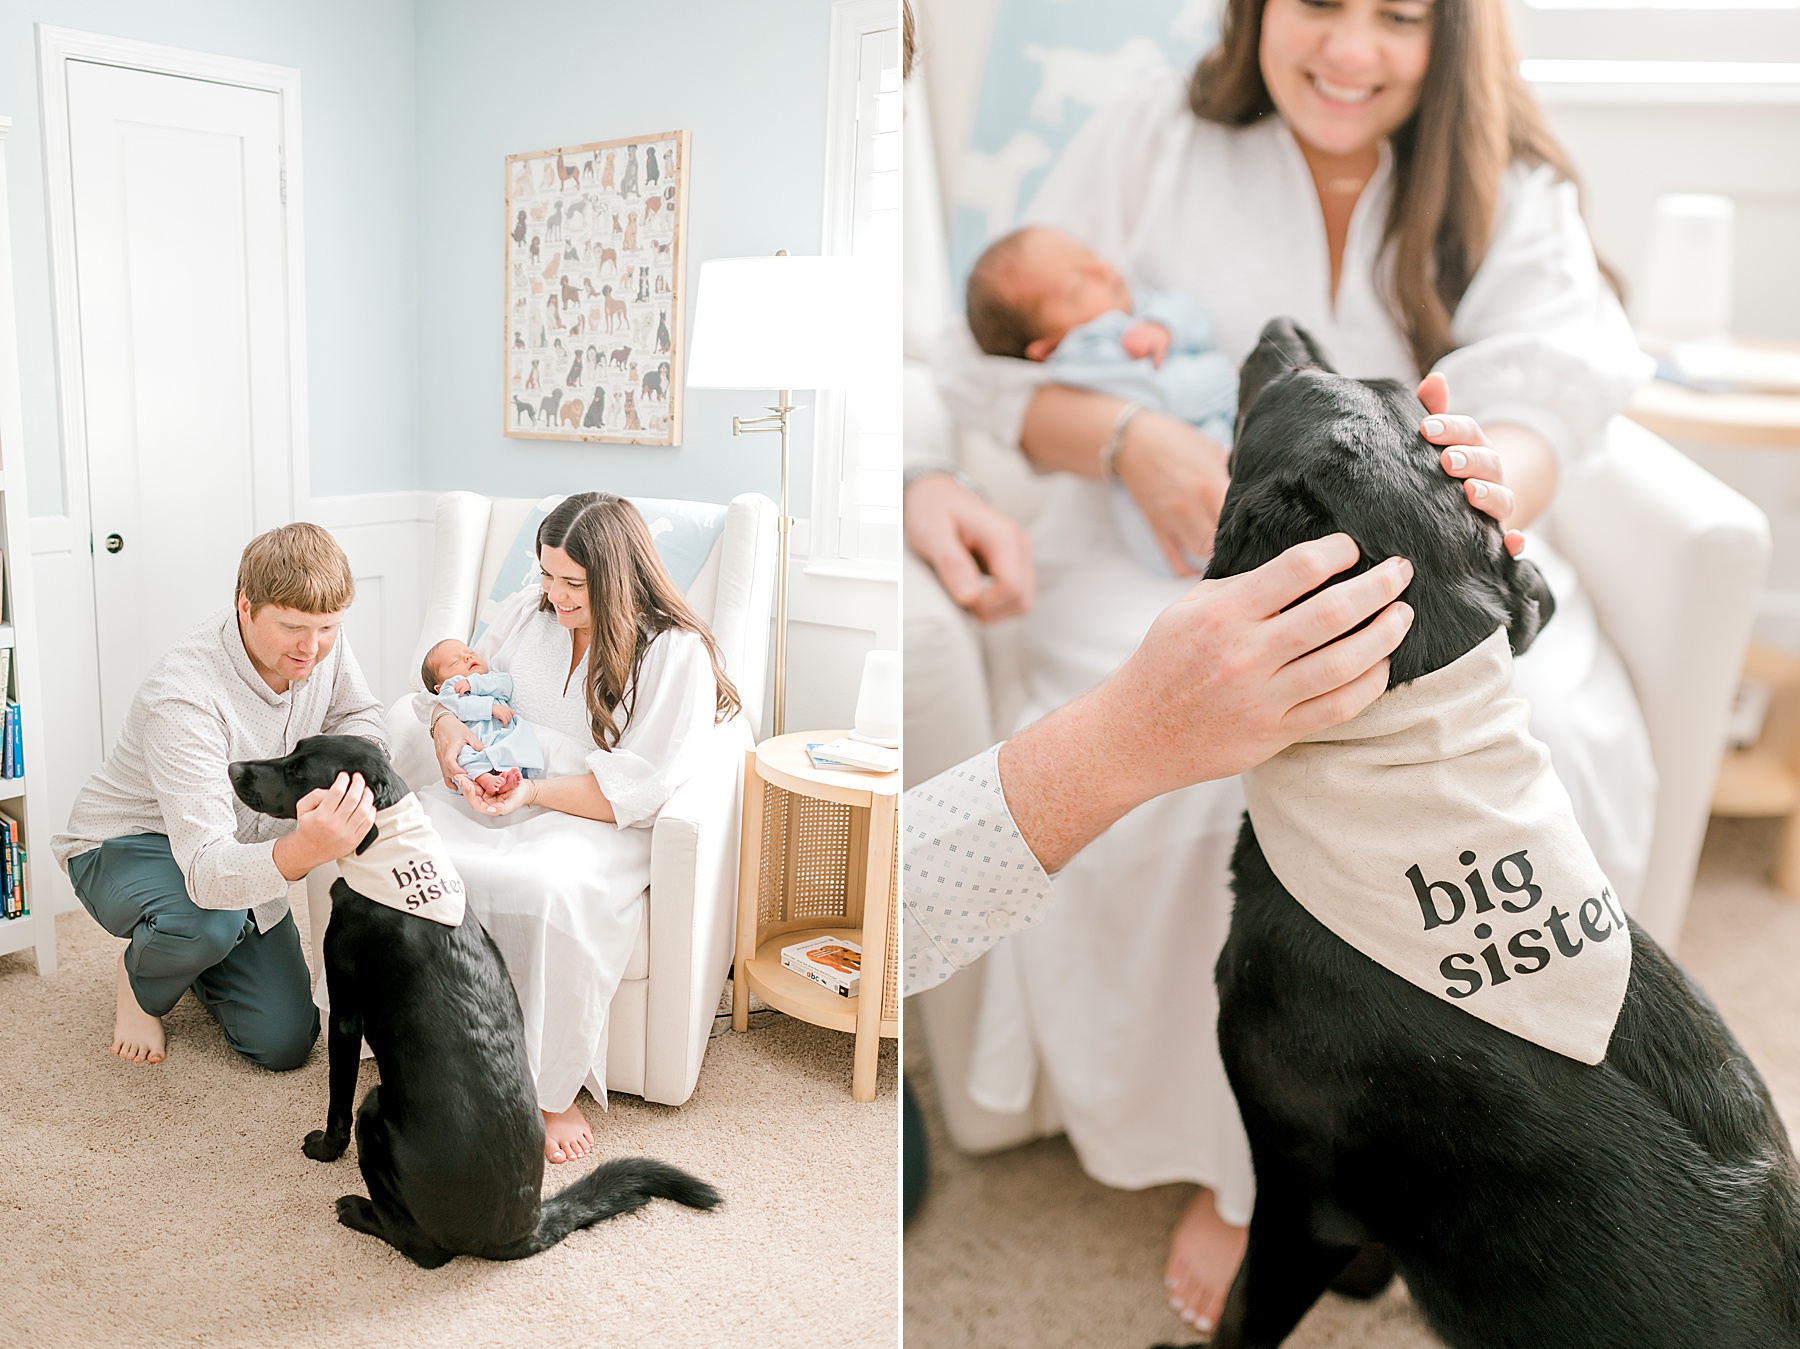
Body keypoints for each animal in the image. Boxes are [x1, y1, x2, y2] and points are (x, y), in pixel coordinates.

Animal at [228, 738, 720, 1260]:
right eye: (291, 751)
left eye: (299, 772)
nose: (233, 769)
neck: (386, 849)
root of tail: (522, 1229)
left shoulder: (342, 1016)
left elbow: (336, 1100)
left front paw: (323, 1149)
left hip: (376, 1110)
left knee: (423, 1248)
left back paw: (358, 1210)